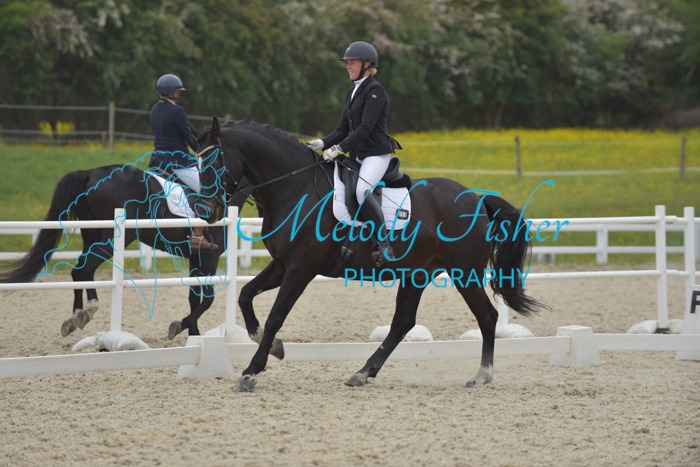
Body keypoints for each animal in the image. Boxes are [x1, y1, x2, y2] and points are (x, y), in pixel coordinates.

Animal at [0, 138, 250, 340]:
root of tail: (89, 173)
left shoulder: (196, 257)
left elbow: (194, 297)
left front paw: (194, 335)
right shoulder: (209, 256)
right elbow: (207, 299)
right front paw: (182, 327)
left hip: (92, 233)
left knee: (80, 268)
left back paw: (77, 316)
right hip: (114, 237)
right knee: (84, 268)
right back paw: (89, 309)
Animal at [196, 117, 548, 392]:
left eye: (212, 163)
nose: (208, 212)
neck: (294, 187)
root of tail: (475, 198)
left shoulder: (301, 268)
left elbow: (275, 317)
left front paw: (250, 373)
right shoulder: (282, 264)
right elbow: (246, 295)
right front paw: (275, 349)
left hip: (464, 272)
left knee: (486, 316)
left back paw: (481, 376)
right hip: (417, 273)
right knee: (403, 322)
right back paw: (363, 372)